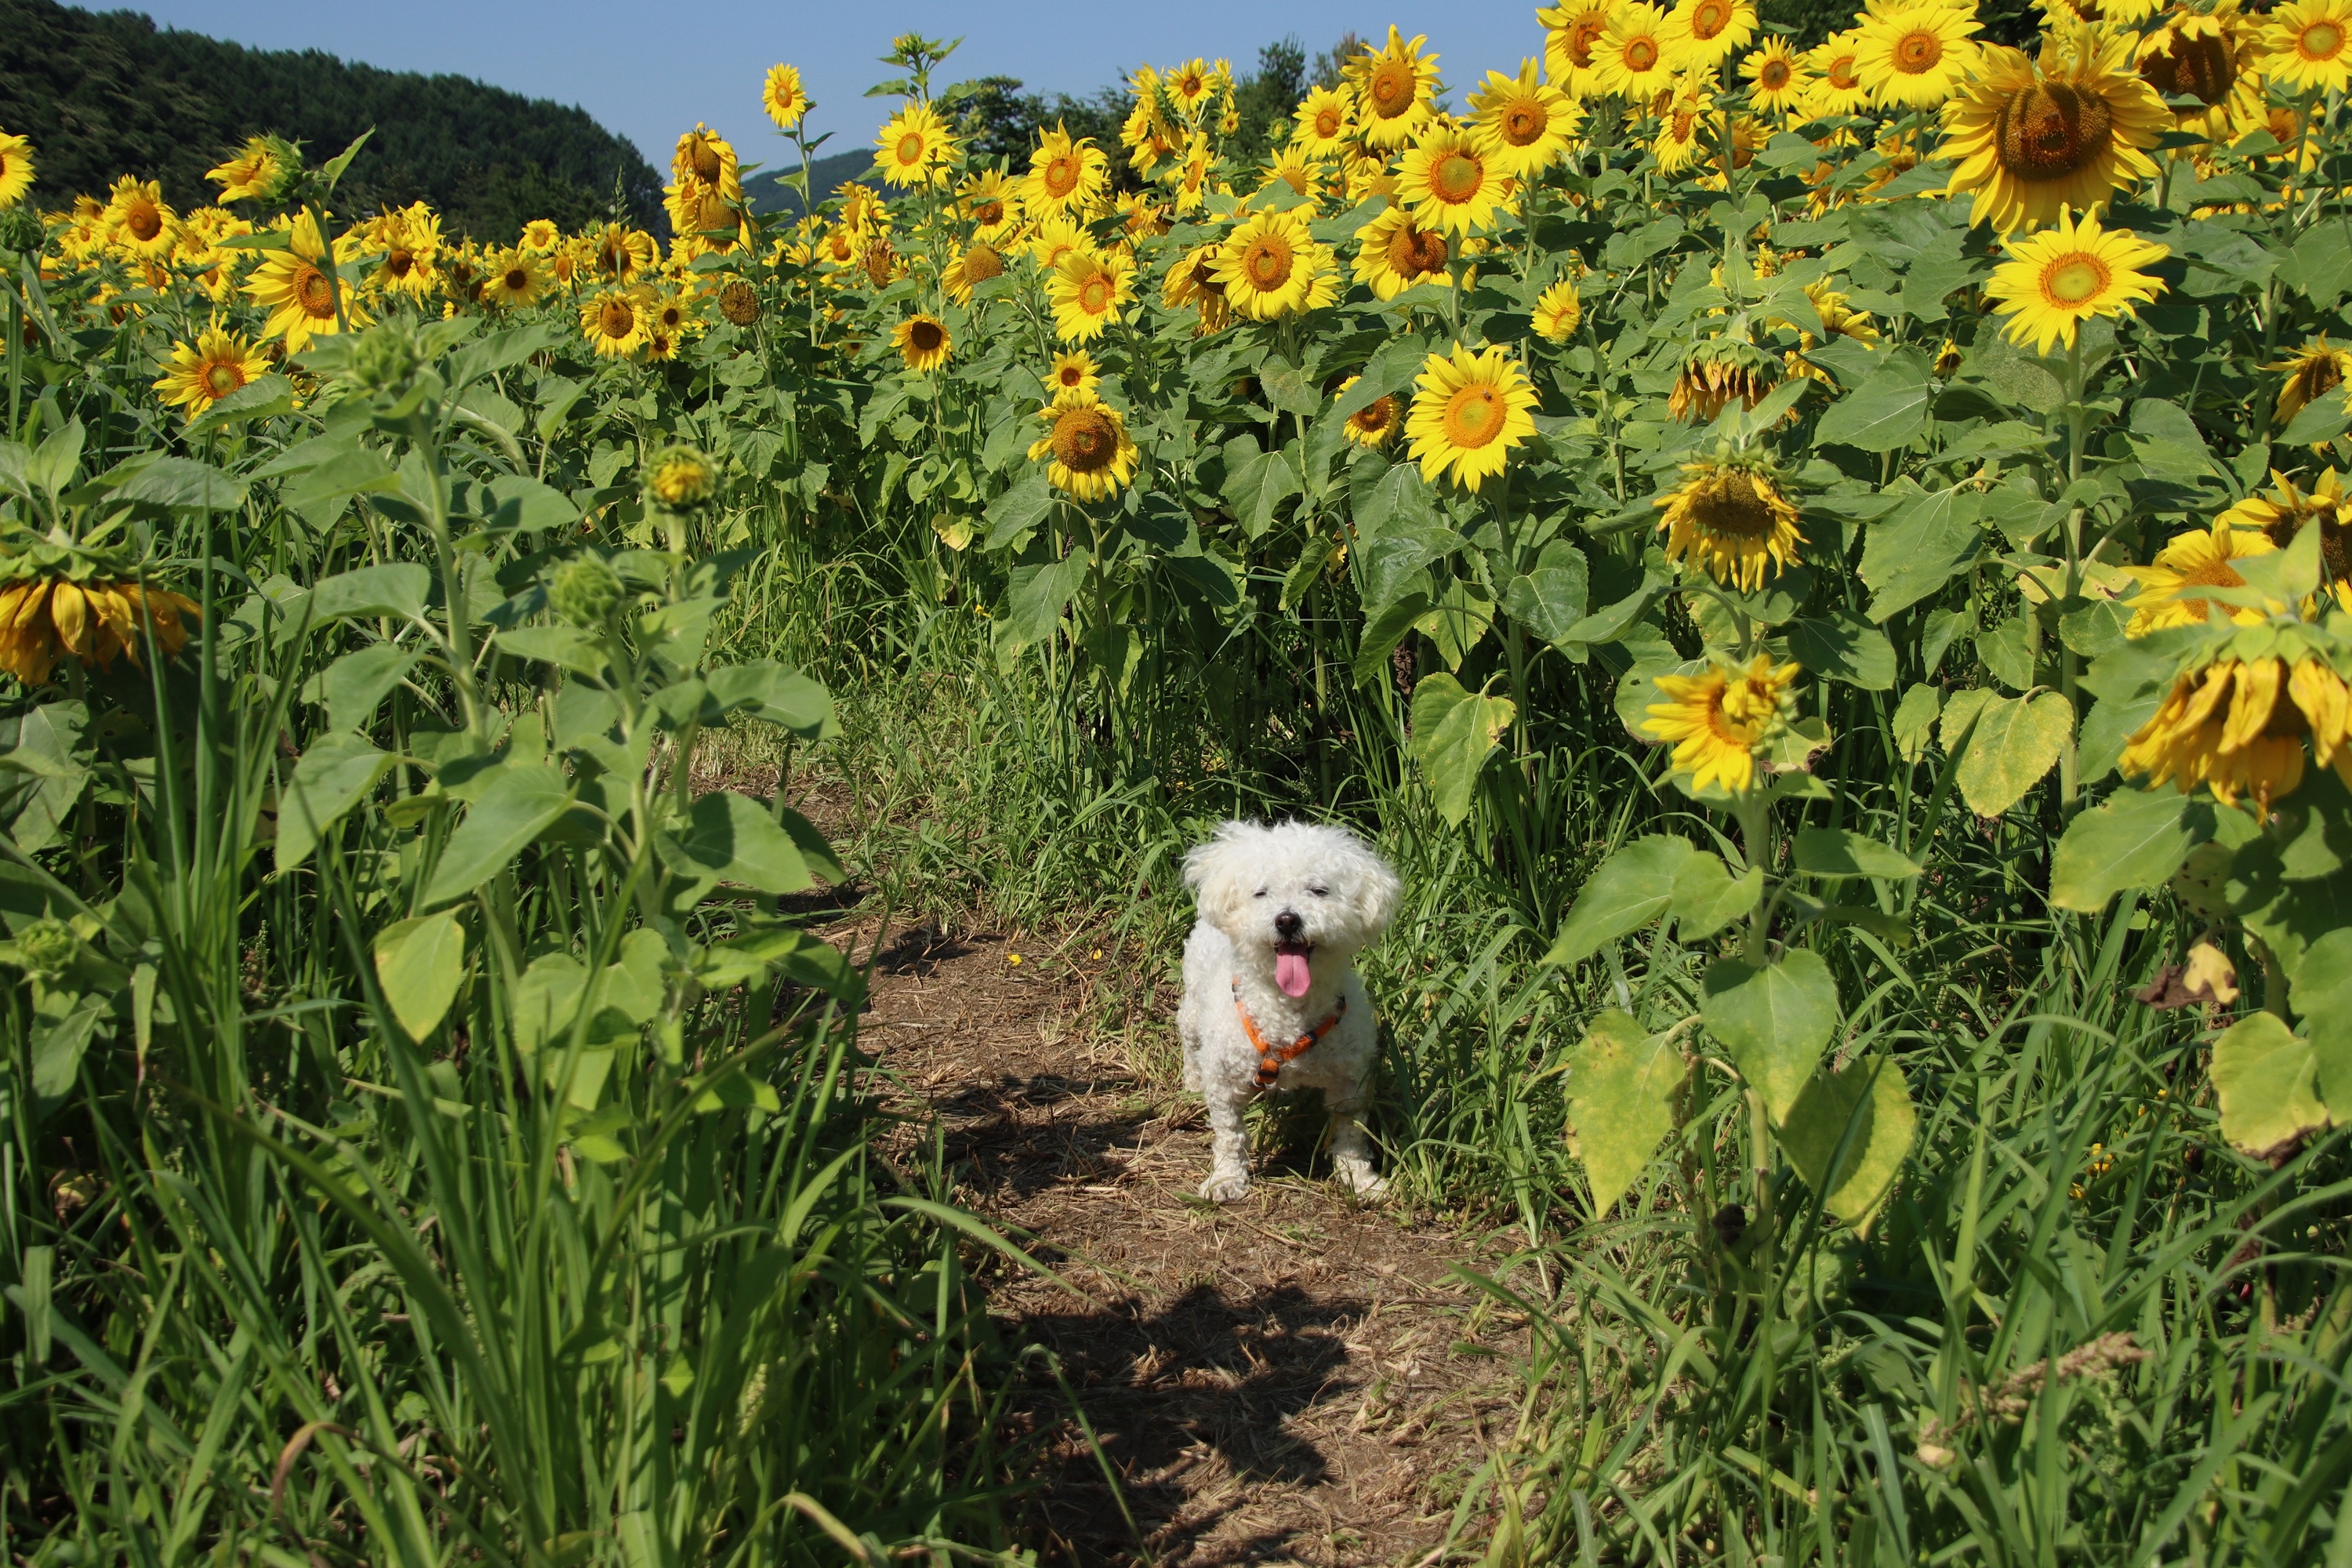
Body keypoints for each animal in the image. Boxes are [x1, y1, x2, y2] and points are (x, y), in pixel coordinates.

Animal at [1177, 819, 1401, 1203]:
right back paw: (1192, 1081)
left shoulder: (1351, 1080)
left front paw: (1361, 1180)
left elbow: (1351, 1134)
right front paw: (1226, 1179)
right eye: (1261, 893)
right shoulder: (1223, 1081)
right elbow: (1229, 1133)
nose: (1287, 920)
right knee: (1190, 1043)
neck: (1287, 1014)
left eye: (1319, 890)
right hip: (1193, 1008)